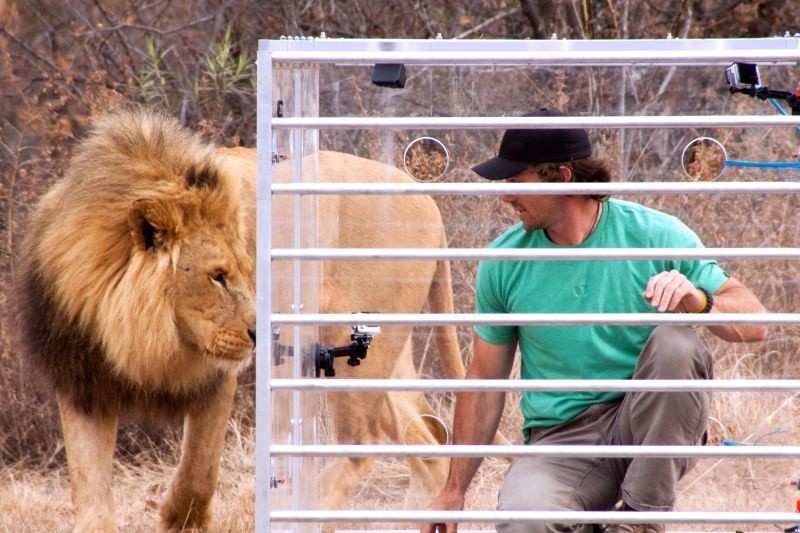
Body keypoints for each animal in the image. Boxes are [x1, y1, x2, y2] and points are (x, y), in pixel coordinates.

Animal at [14, 107, 468, 528]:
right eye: (218, 276)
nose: (259, 333)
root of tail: (428, 200)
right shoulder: (82, 381)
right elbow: (88, 484)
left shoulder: (214, 376)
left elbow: (198, 471)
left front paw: (178, 519)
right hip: (386, 353)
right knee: (429, 441)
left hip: (353, 342)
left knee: (360, 441)